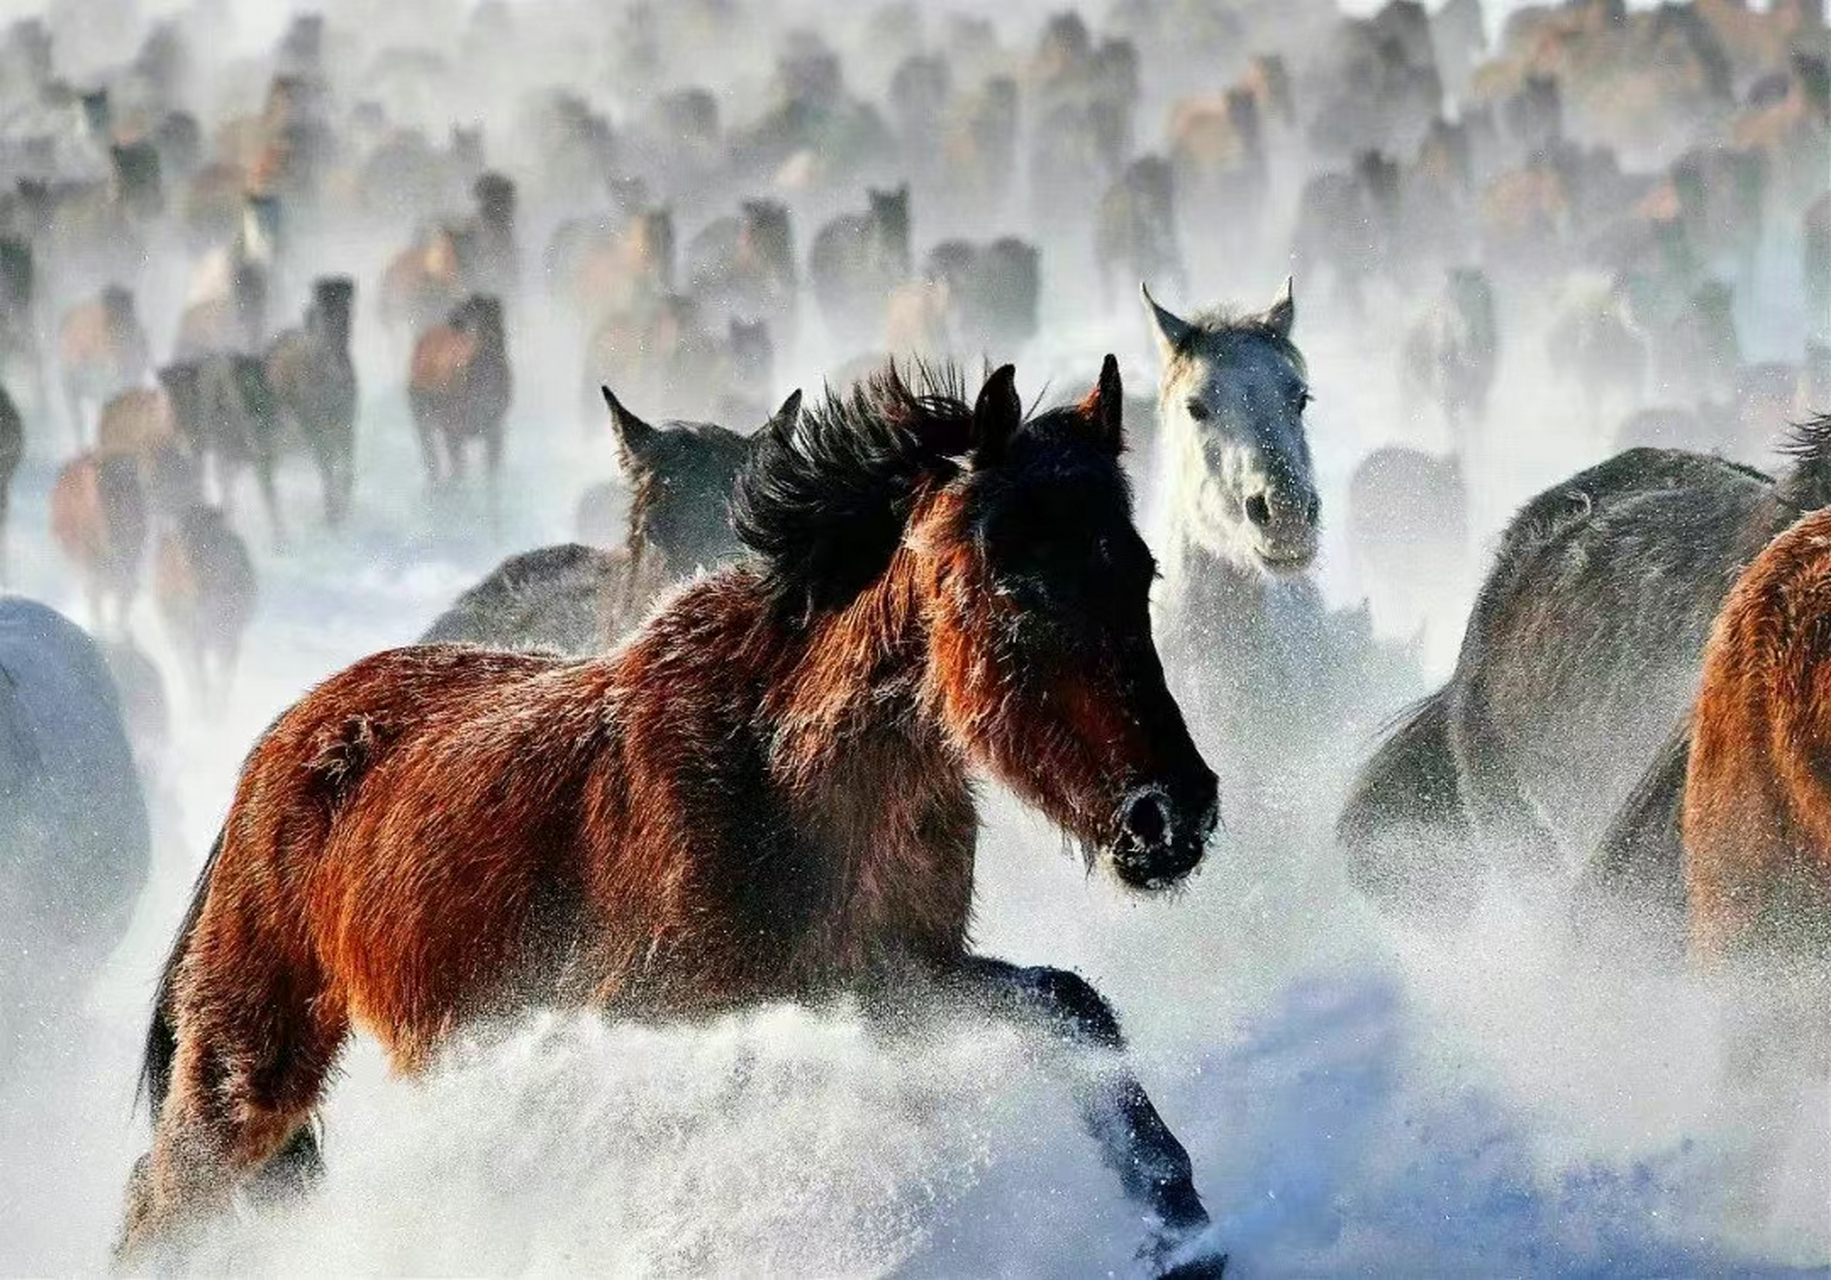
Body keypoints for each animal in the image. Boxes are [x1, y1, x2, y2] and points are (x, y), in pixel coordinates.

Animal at [121, 360, 1223, 1280]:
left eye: (1139, 572)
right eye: (1016, 585)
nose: (1168, 815)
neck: (777, 769)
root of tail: (276, 749)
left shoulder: (886, 983)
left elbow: (1069, 1005)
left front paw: (1180, 1227)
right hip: (246, 1070)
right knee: (161, 1208)